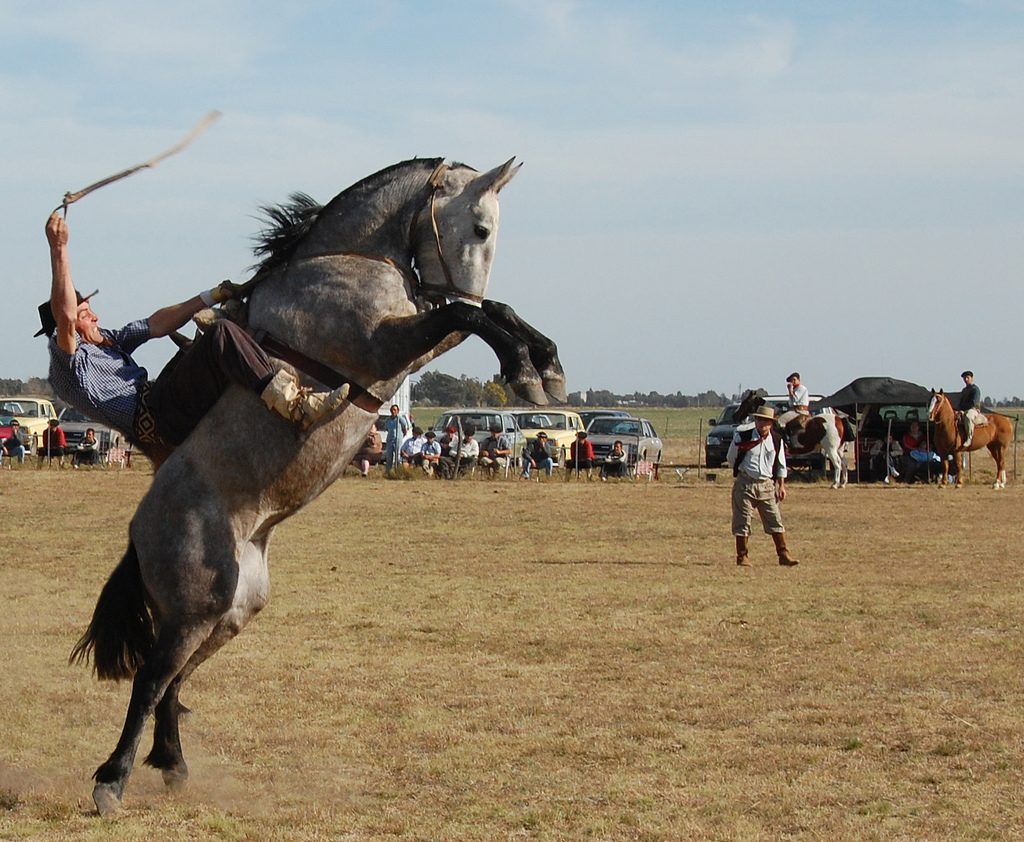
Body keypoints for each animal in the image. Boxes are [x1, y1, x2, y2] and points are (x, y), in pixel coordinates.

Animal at [69, 157, 566, 816]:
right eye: (481, 228)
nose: (464, 286)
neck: (347, 256)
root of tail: (138, 532)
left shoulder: (413, 341)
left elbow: (490, 313)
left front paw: (545, 367)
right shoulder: (386, 343)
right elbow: (467, 317)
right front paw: (526, 370)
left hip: (227, 612)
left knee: (173, 680)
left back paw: (173, 765)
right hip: (199, 603)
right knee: (152, 680)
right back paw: (111, 781)